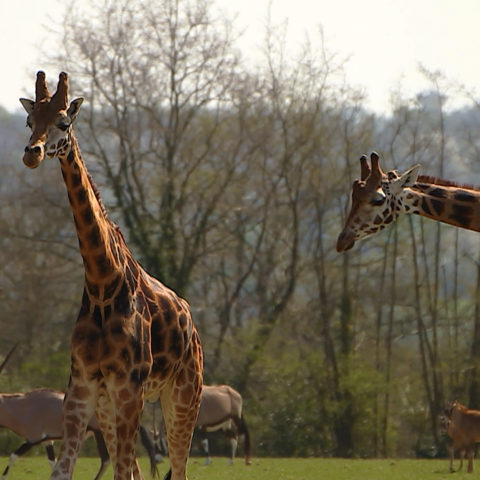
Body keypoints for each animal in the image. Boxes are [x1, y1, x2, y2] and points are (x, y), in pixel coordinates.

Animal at [18, 71, 202, 480]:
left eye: (63, 123)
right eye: (29, 120)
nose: (31, 153)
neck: (102, 283)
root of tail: (192, 325)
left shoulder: (128, 388)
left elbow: (122, 471)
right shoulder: (83, 388)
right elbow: (64, 471)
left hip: (184, 394)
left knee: (178, 466)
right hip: (112, 407)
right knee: (136, 466)